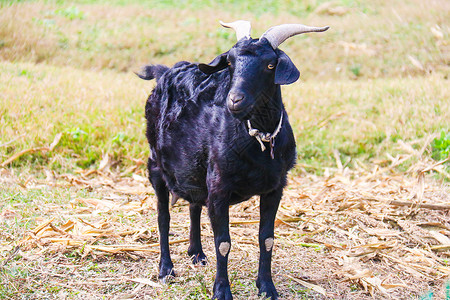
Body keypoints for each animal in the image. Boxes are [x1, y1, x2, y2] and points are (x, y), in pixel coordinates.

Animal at [139, 19, 328, 298]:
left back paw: (196, 253)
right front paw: (221, 291)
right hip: (156, 165)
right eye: (230, 62)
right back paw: (166, 269)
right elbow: (223, 243)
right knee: (163, 217)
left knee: (194, 204)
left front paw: (267, 287)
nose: (234, 100)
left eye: (270, 65)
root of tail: (165, 72)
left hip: (194, 167)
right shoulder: (219, 187)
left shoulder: (276, 187)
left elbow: (267, 239)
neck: (260, 138)